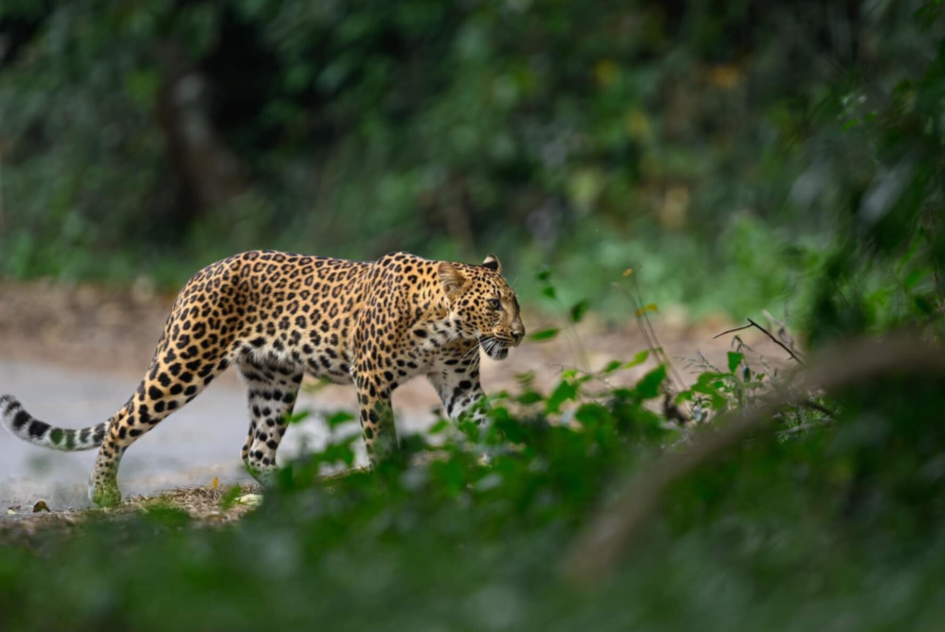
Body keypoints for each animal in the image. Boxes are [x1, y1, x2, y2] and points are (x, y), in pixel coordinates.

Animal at [0, 249, 524, 506]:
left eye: (515, 302)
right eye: (494, 304)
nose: (520, 333)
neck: (447, 329)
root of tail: (198, 274)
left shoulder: (460, 387)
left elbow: (489, 424)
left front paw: (518, 462)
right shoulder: (371, 379)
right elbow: (382, 440)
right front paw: (391, 482)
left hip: (275, 382)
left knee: (253, 450)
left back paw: (292, 485)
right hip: (184, 363)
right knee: (123, 422)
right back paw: (105, 493)